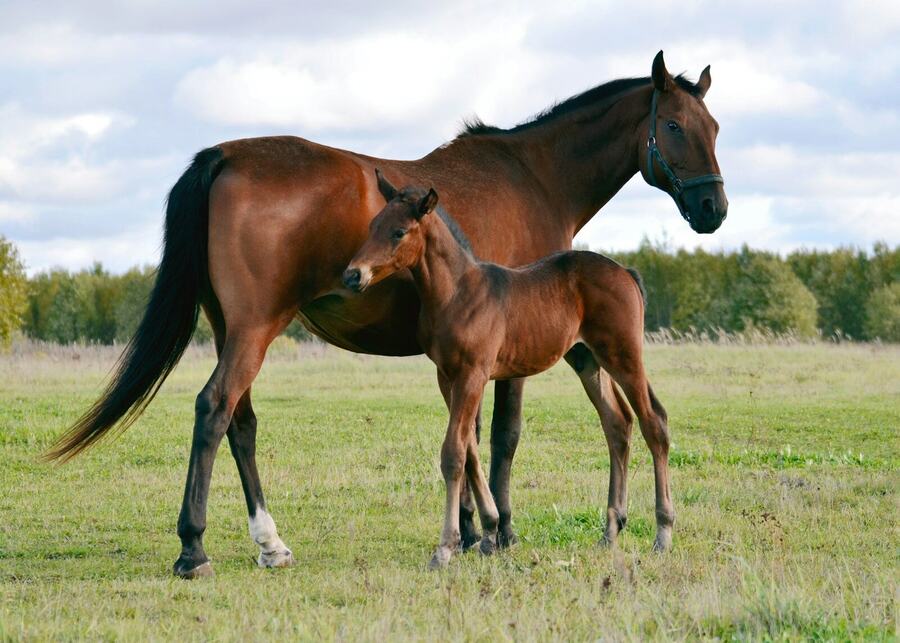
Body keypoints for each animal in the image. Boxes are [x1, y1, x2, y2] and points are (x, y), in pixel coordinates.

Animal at [344, 171, 669, 567]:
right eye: (373, 225)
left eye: (398, 232)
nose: (352, 276)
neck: (457, 293)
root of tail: (625, 271)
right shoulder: (447, 377)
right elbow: (469, 449)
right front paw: (489, 532)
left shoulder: (473, 374)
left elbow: (453, 452)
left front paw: (446, 547)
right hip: (588, 359)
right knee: (617, 423)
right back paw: (610, 531)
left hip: (623, 355)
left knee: (654, 421)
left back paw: (662, 533)